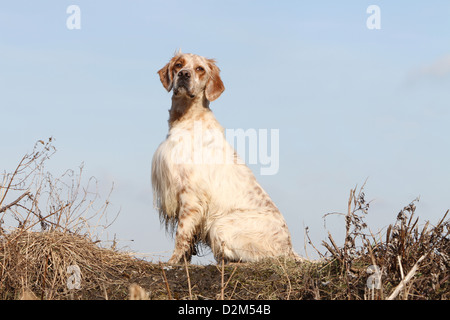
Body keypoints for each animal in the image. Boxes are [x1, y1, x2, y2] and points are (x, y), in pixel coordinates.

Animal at [152, 51, 298, 264]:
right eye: (179, 64)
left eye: (200, 69)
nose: (184, 74)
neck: (187, 118)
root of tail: (289, 247)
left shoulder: (190, 194)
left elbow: (182, 234)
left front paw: (172, 262)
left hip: (221, 225)